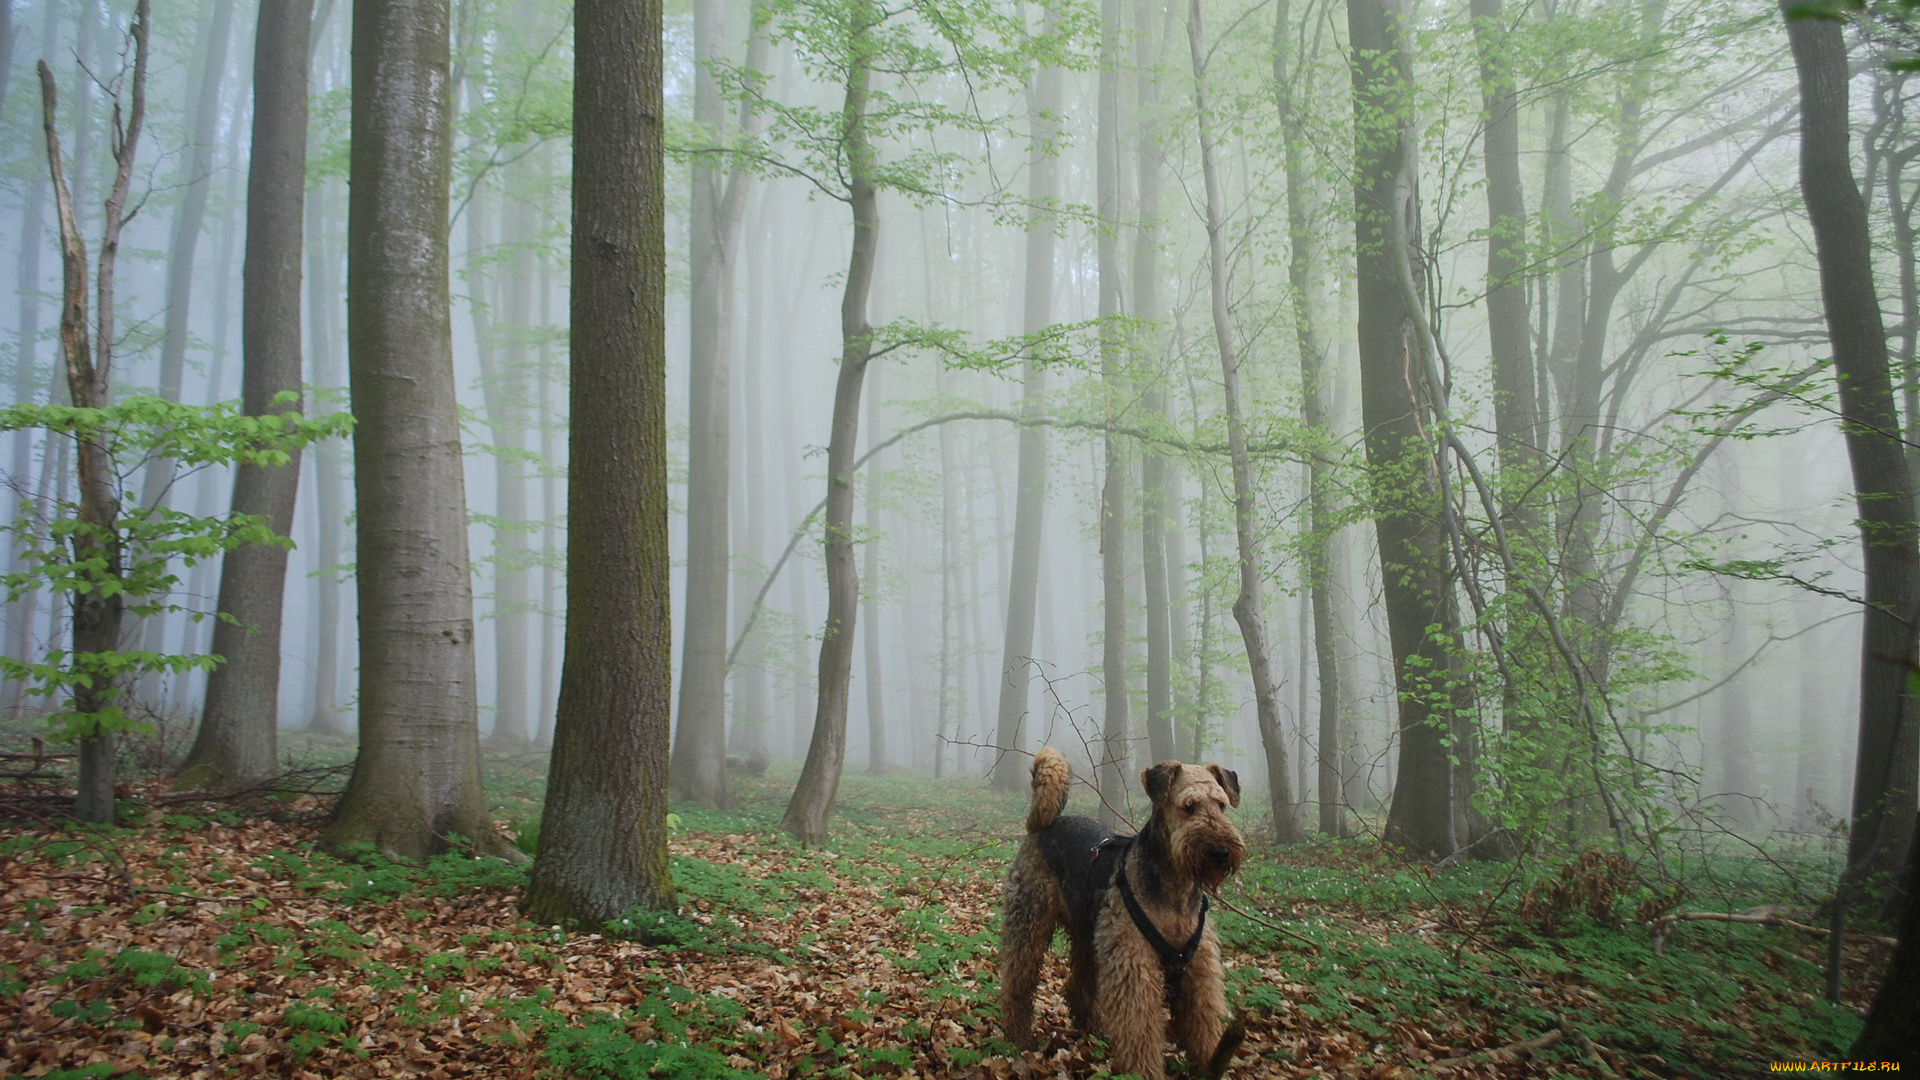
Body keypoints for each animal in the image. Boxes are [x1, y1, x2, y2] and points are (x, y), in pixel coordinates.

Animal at [998, 745, 1251, 1076]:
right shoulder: (1134, 962)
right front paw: (1145, 1072)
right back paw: (1018, 1037)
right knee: (1017, 983)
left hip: (1090, 933)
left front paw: (1211, 1062)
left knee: (1078, 987)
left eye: (1221, 805)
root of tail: (1049, 823)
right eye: (1189, 806)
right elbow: (1139, 1029)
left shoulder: (1198, 966)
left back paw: (1095, 1030)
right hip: (1029, 922)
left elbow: (1204, 1022)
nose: (1221, 852)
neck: (1175, 890)